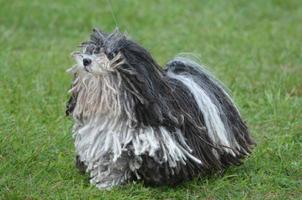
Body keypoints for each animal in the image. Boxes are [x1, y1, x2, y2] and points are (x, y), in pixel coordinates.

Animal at [66, 28, 255, 189]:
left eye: (110, 54)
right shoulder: (106, 140)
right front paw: (107, 183)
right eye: (92, 50)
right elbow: (112, 162)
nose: (86, 60)